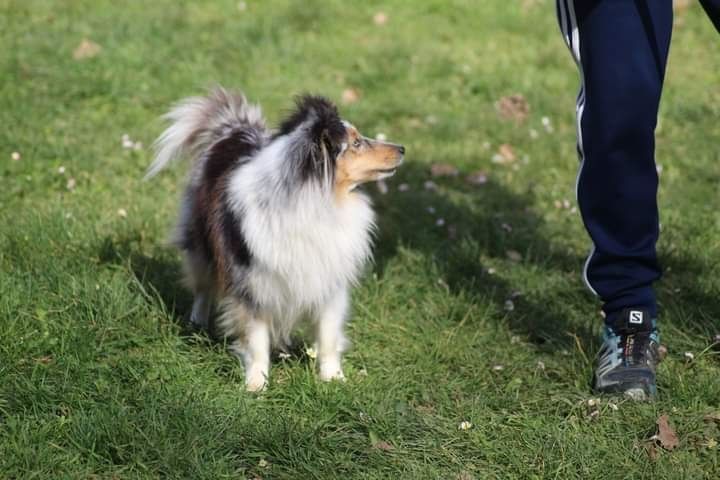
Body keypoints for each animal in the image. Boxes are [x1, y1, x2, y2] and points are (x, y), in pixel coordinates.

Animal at [146, 88, 404, 392]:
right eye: (356, 143)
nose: (402, 149)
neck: (317, 202)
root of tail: (233, 129)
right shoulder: (253, 284)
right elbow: (256, 340)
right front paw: (256, 384)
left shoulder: (329, 281)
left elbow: (328, 336)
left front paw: (333, 379)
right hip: (201, 245)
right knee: (203, 286)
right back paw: (197, 321)